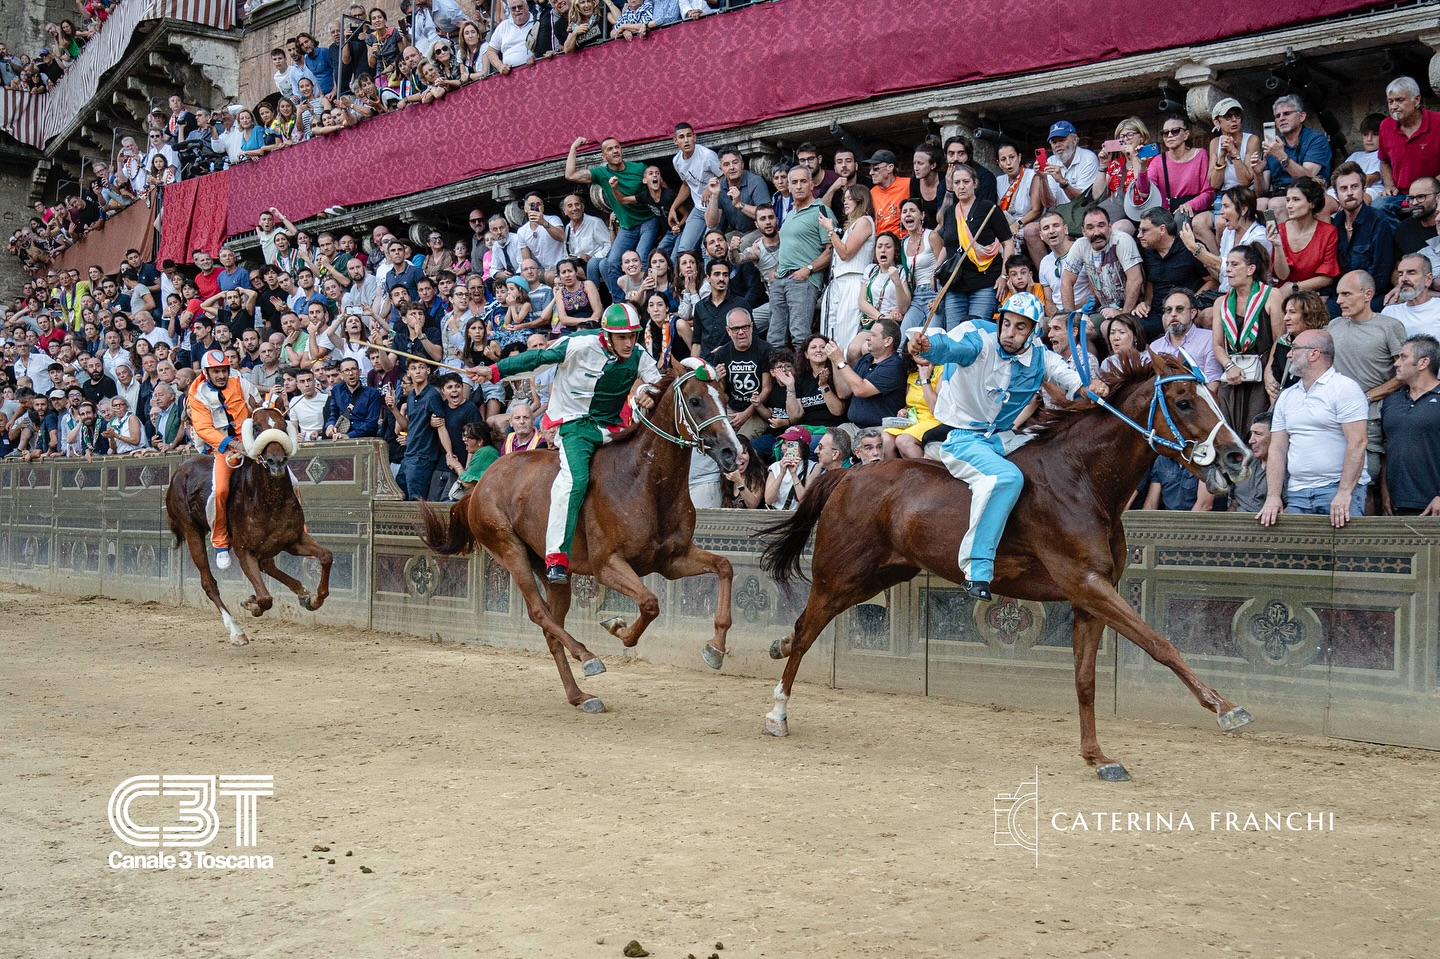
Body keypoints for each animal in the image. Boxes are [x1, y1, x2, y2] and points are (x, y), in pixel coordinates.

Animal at [165, 391, 331, 645]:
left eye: (283, 425)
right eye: (256, 427)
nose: (276, 461)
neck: (269, 500)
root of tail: (179, 472)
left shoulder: (293, 540)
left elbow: (325, 556)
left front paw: (313, 598)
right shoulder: (244, 551)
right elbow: (265, 598)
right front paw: (251, 603)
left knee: (268, 564)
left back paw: (302, 593)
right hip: (191, 531)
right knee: (209, 583)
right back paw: (236, 631)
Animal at [420, 358, 743, 708]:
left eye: (726, 398)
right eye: (695, 401)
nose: (732, 452)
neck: (643, 481)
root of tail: (479, 485)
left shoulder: (672, 559)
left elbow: (725, 567)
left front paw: (715, 648)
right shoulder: (607, 564)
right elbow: (649, 603)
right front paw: (617, 628)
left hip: (551, 570)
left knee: (551, 627)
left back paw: (580, 695)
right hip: (508, 548)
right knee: (538, 612)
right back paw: (587, 656)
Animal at [760, 351, 1255, 777]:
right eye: (1185, 401)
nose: (1240, 455)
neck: (1080, 480)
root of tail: (848, 474)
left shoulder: (1090, 597)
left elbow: (1086, 679)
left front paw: (1097, 757)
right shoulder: (1086, 583)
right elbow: (1160, 643)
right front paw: (1227, 708)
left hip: (880, 574)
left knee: (807, 626)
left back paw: (778, 648)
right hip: (838, 573)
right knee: (806, 628)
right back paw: (777, 711)